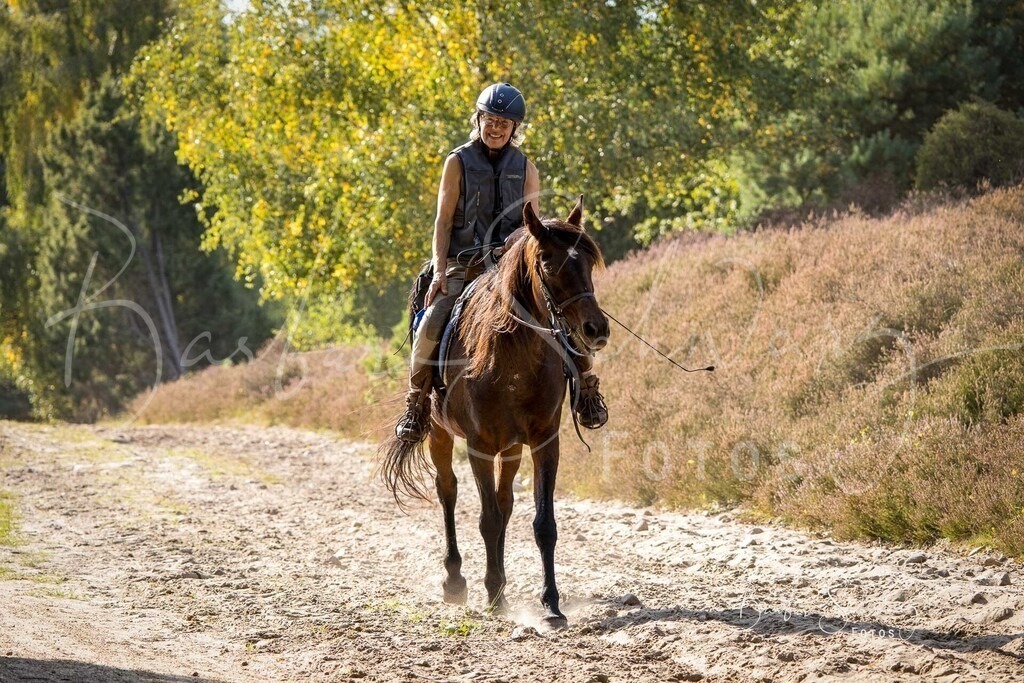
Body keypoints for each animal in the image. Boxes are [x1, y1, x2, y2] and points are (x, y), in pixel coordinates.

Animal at [379, 196, 609, 628]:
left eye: (588, 261)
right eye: (548, 263)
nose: (596, 330)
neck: (514, 357)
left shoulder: (543, 442)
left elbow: (542, 524)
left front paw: (550, 604)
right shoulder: (480, 445)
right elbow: (485, 519)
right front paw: (493, 594)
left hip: (512, 448)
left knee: (504, 504)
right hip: (440, 434)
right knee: (448, 491)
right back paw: (456, 581)